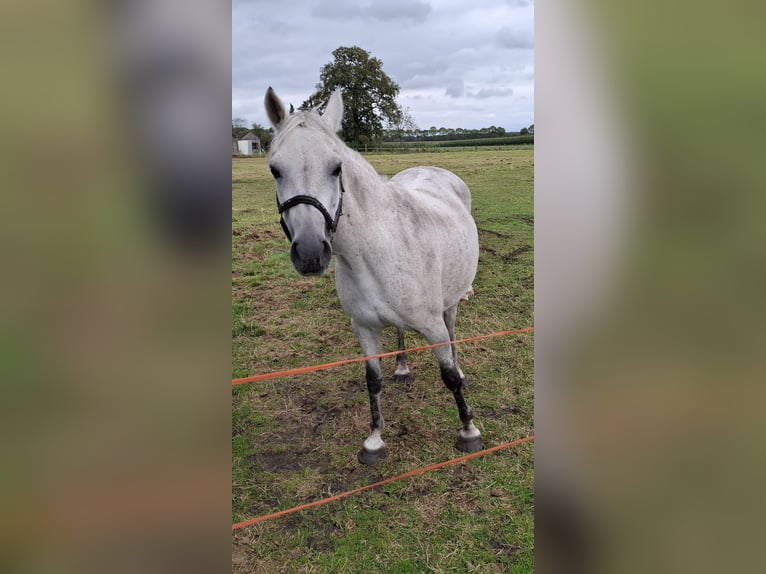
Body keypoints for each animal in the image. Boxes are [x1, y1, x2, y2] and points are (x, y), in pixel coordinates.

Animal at [264, 86, 480, 468]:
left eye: (336, 168)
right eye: (275, 169)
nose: (310, 253)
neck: (375, 250)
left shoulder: (433, 327)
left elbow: (450, 377)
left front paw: (468, 431)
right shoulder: (364, 328)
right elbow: (372, 381)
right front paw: (375, 441)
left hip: (451, 303)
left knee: (453, 333)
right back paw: (402, 368)